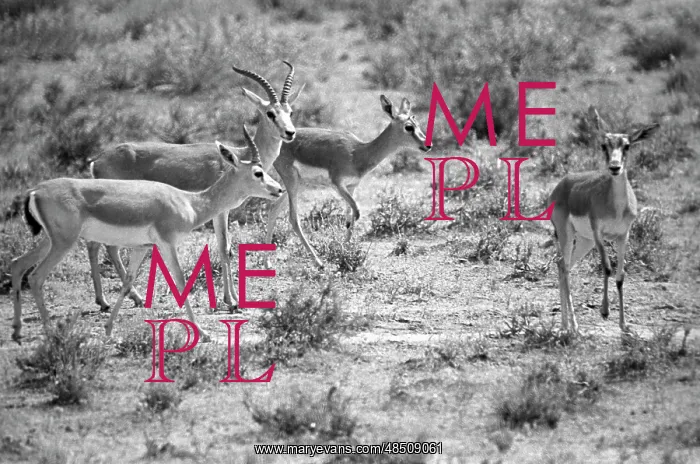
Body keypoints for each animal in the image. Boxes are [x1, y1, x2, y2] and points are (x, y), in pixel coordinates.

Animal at [9, 125, 284, 343]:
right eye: (258, 172)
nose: (279, 189)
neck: (189, 202)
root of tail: (35, 191)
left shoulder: (142, 247)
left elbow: (127, 282)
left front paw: (109, 329)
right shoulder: (167, 244)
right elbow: (181, 283)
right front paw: (204, 333)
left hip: (50, 241)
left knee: (17, 264)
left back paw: (17, 330)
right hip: (62, 244)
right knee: (36, 277)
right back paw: (51, 332)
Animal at [87, 62, 302, 312]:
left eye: (290, 112)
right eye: (270, 113)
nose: (290, 133)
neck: (237, 158)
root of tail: (97, 160)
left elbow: (226, 248)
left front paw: (231, 299)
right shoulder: (220, 212)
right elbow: (224, 248)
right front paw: (232, 301)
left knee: (96, 244)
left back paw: (112, 300)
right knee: (105, 246)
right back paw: (124, 298)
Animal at [264, 95, 431, 268]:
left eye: (417, 124)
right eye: (408, 127)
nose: (428, 145)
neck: (358, 153)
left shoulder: (351, 187)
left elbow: (350, 219)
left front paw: (346, 254)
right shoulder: (338, 184)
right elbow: (356, 214)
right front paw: (345, 256)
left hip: (299, 185)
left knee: (274, 208)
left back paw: (267, 262)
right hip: (292, 181)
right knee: (293, 218)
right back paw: (318, 262)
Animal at [548, 106, 659, 334]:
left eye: (627, 145)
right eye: (603, 145)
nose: (614, 167)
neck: (615, 206)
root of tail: (562, 185)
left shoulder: (623, 236)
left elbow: (620, 276)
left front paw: (624, 325)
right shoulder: (598, 233)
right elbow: (607, 267)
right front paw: (605, 311)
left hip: (584, 241)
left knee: (564, 266)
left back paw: (566, 325)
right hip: (568, 234)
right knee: (564, 266)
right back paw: (574, 327)